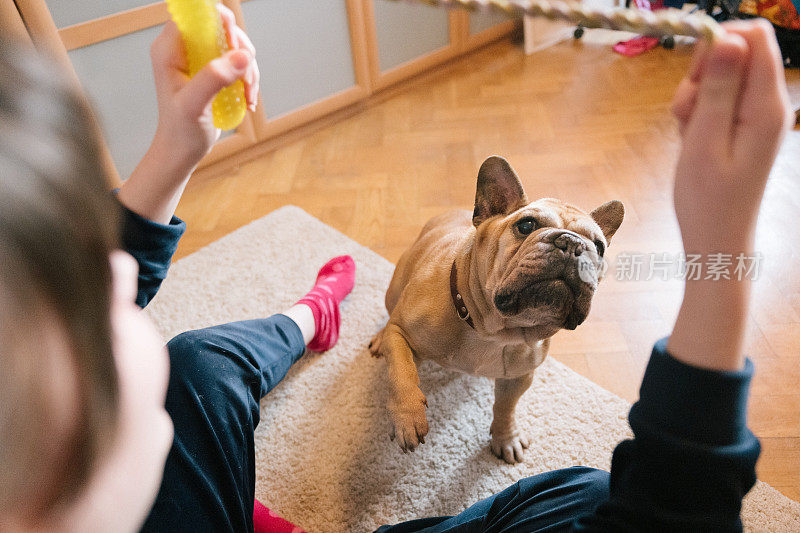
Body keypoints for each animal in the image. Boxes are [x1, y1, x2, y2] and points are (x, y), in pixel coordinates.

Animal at [368, 155, 624, 462]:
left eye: (599, 247)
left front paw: (506, 438)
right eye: (526, 226)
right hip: (394, 288)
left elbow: (505, 408)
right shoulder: (401, 333)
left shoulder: (518, 377)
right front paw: (407, 418)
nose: (572, 242)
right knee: (389, 321)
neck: (491, 330)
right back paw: (379, 339)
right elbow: (401, 371)